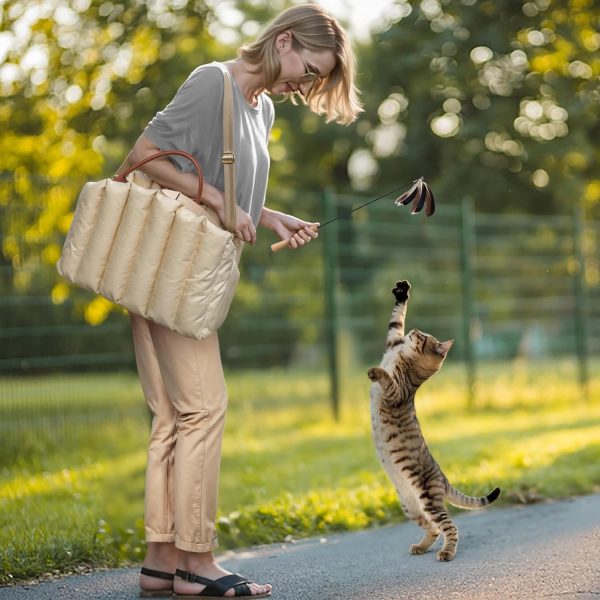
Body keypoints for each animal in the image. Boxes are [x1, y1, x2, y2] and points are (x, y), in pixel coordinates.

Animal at [366, 282, 502, 564]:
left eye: (423, 337)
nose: (415, 330)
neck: (402, 357)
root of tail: (444, 477)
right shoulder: (392, 341)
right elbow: (396, 321)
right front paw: (403, 292)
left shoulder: (396, 391)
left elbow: (386, 376)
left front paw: (375, 371)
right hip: (410, 504)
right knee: (433, 528)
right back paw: (420, 546)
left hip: (427, 497)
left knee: (450, 527)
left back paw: (446, 552)